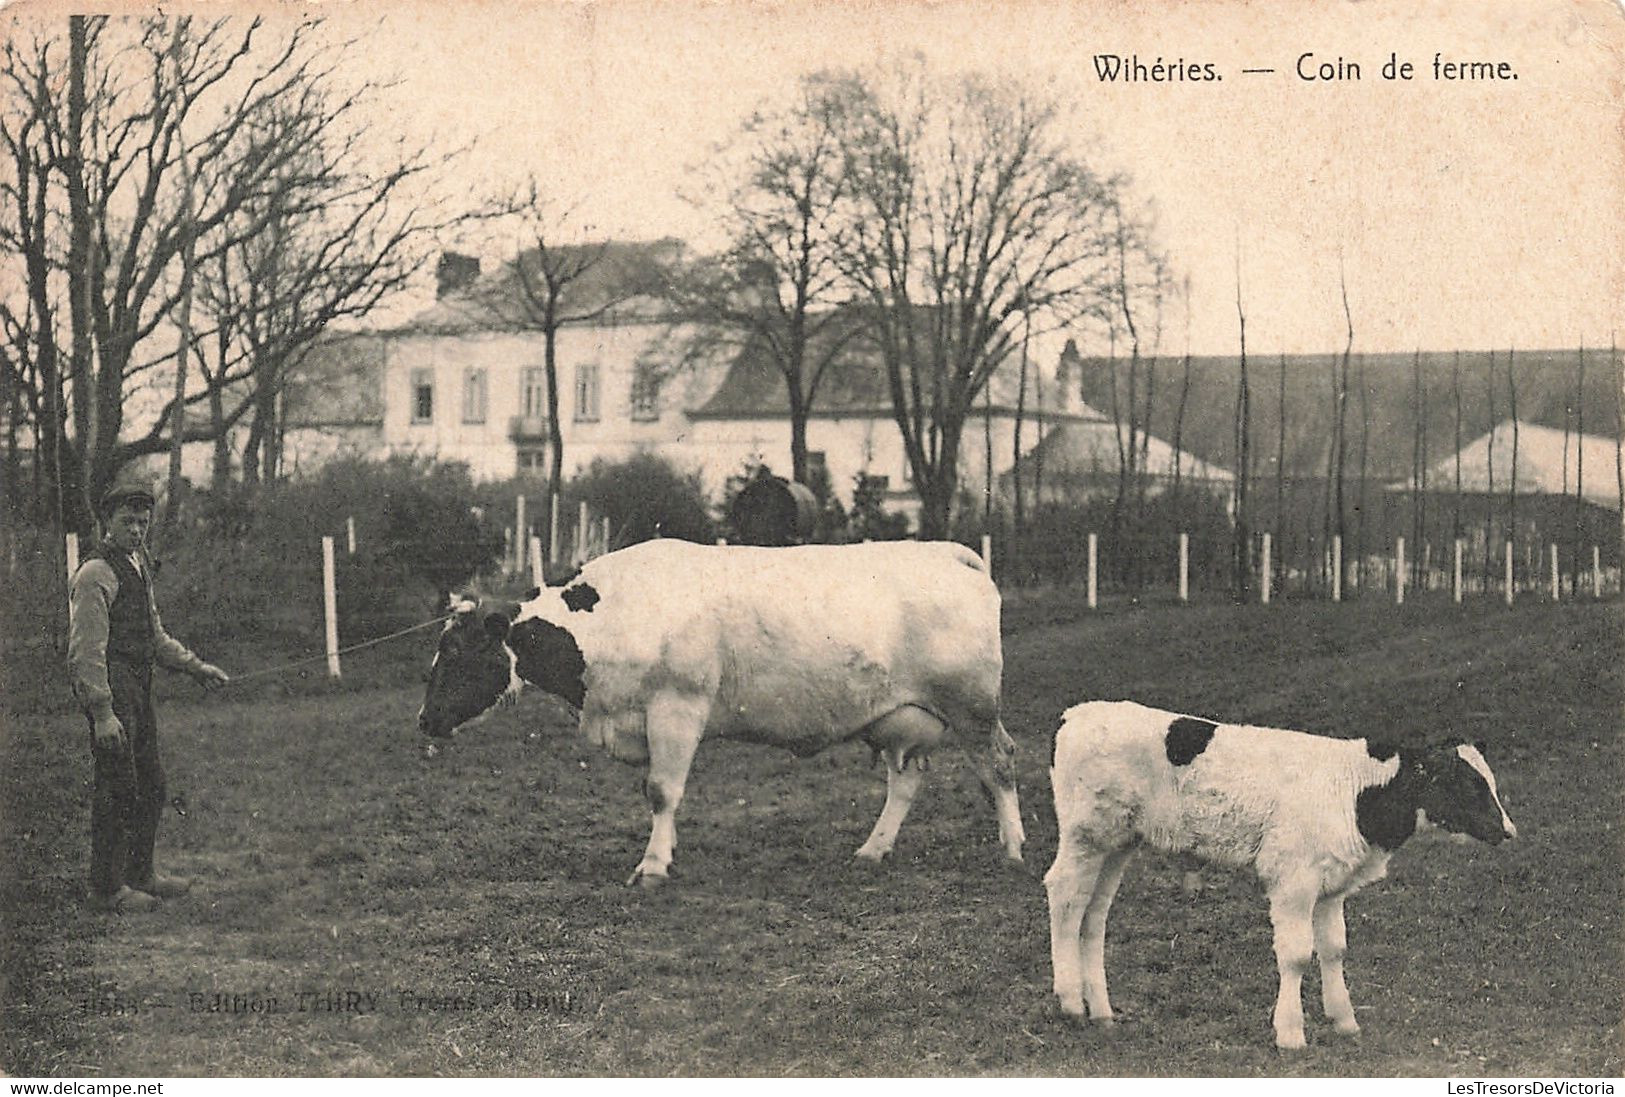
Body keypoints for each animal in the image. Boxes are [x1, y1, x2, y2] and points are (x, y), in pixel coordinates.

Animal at [422, 536, 1027, 890]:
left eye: (456, 651)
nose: (424, 721)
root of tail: (949, 551)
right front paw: (664, 852)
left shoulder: (676, 706)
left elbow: (661, 791)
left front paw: (652, 866)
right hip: (902, 717)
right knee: (906, 781)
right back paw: (873, 849)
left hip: (972, 704)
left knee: (999, 762)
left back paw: (1014, 848)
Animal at [1046, 698, 1514, 1053]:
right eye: (1467, 784)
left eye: (1488, 780)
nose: (1508, 831)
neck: (1356, 793)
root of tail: (1076, 714)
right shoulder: (1293, 882)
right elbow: (1296, 955)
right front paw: (1290, 1032)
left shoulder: (1331, 886)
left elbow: (1334, 949)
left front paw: (1344, 1019)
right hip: (1085, 835)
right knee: (1065, 895)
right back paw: (1069, 1001)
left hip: (1118, 843)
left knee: (1094, 914)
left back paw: (1101, 1011)